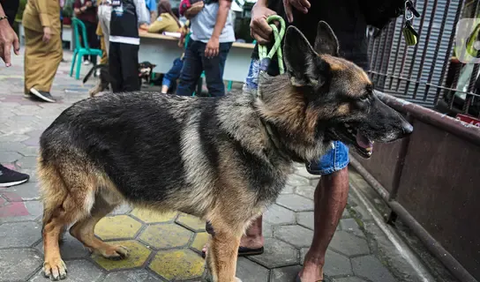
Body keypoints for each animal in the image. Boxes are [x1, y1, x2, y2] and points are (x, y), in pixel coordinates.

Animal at [37, 22, 412, 280]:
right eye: (364, 97)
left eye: (374, 92)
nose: (409, 130)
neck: (266, 126)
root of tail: (57, 120)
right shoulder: (227, 231)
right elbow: (225, 271)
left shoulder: (224, 233)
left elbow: (220, 271)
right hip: (84, 195)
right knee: (52, 225)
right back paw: (53, 261)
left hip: (110, 193)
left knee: (79, 229)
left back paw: (107, 248)